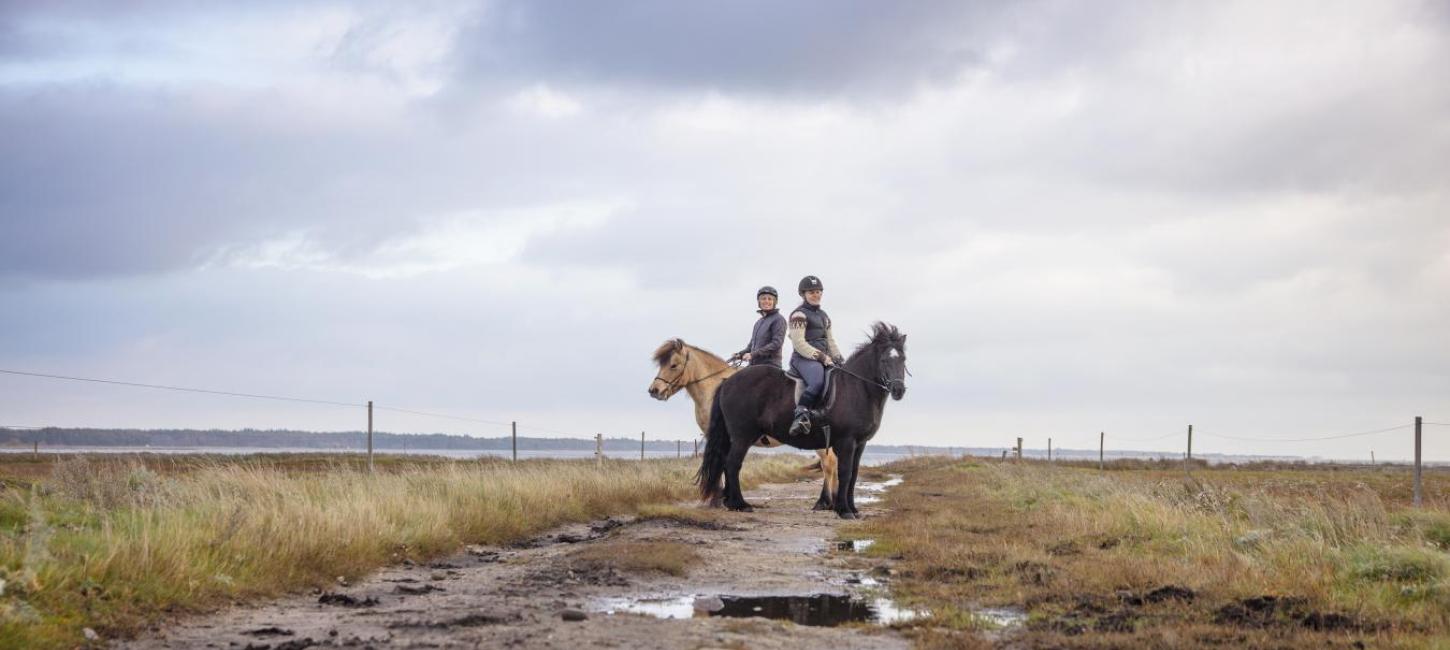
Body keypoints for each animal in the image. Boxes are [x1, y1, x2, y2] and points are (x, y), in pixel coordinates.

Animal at [698, 322, 910, 519]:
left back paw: (731, 502)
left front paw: (853, 509)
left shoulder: (860, 444)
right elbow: (845, 472)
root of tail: (727, 381)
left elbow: (854, 474)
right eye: (884, 360)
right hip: (742, 436)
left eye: (903, 359)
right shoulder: (846, 442)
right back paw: (740, 504)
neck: (856, 388)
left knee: (727, 464)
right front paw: (844, 511)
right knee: (732, 464)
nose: (898, 390)